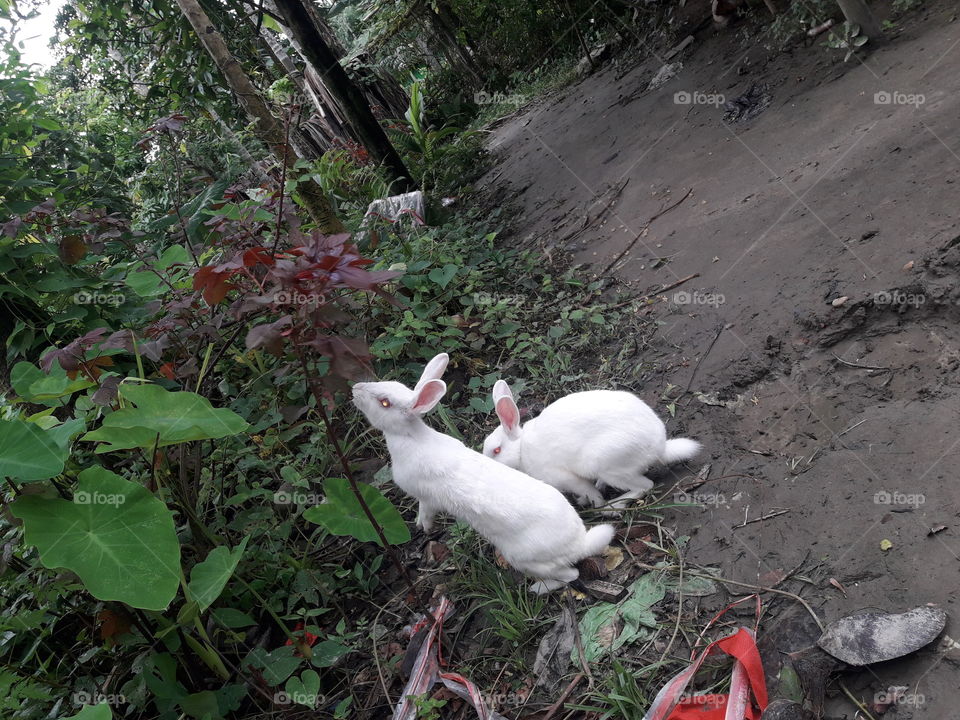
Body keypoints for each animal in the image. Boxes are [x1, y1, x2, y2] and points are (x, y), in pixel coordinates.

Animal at [351, 353, 615, 593]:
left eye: (385, 402)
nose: (355, 388)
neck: (411, 438)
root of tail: (579, 543)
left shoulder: (426, 497)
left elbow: (425, 510)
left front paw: (423, 527)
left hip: (524, 559)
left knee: (570, 575)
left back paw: (536, 589)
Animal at [482, 381, 701, 509]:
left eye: (497, 450)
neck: (520, 450)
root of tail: (659, 448)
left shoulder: (567, 478)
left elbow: (588, 491)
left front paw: (596, 503)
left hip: (609, 466)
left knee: (645, 486)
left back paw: (611, 508)